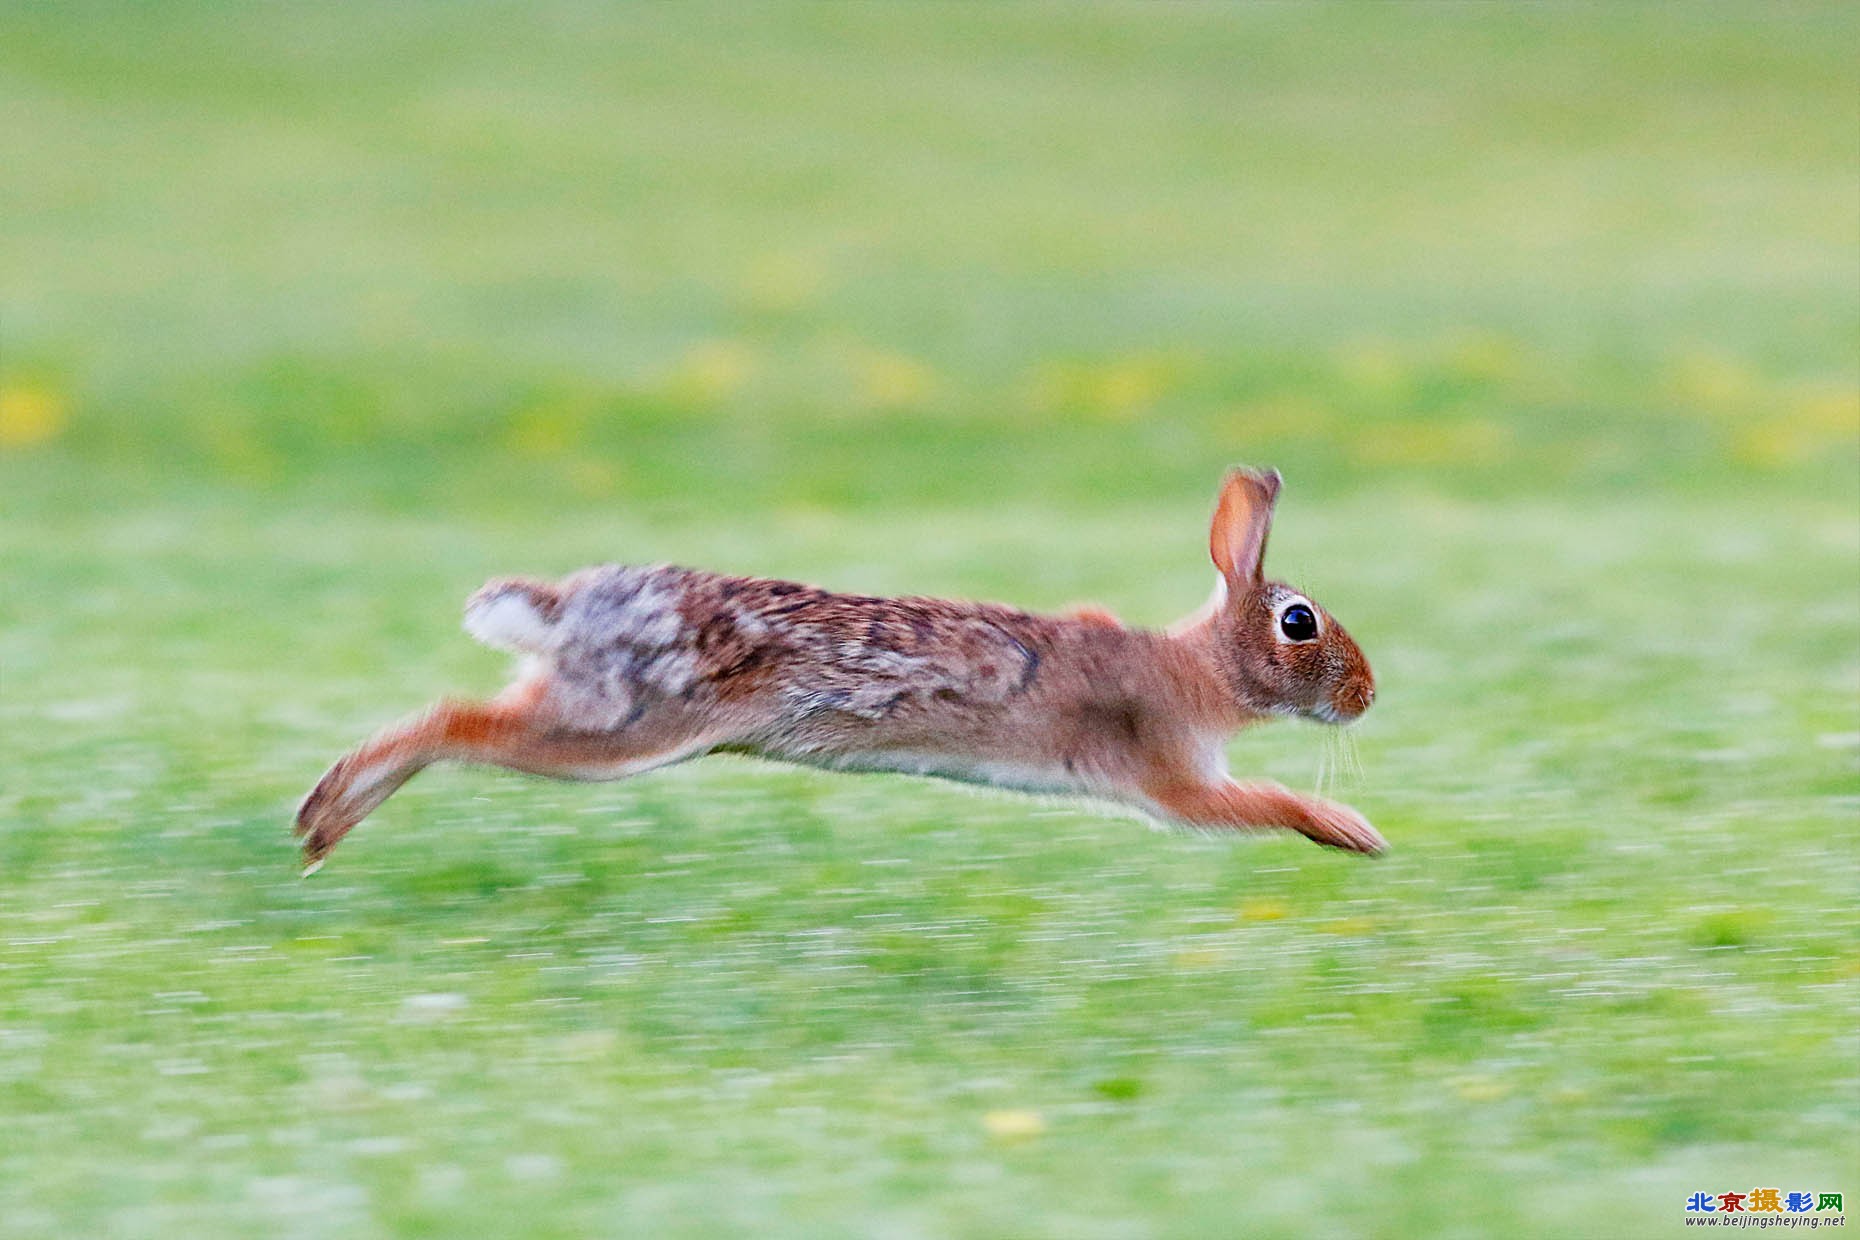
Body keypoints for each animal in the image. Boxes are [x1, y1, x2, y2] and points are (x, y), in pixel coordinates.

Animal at [293, 468, 1383, 873]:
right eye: (1298, 623)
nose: (1369, 696)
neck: (1201, 666)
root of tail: (574, 609)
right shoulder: (1172, 778)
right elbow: (1261, 802)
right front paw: (1353, 832)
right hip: (622, 730)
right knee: (452, 719)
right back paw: (324, 817)